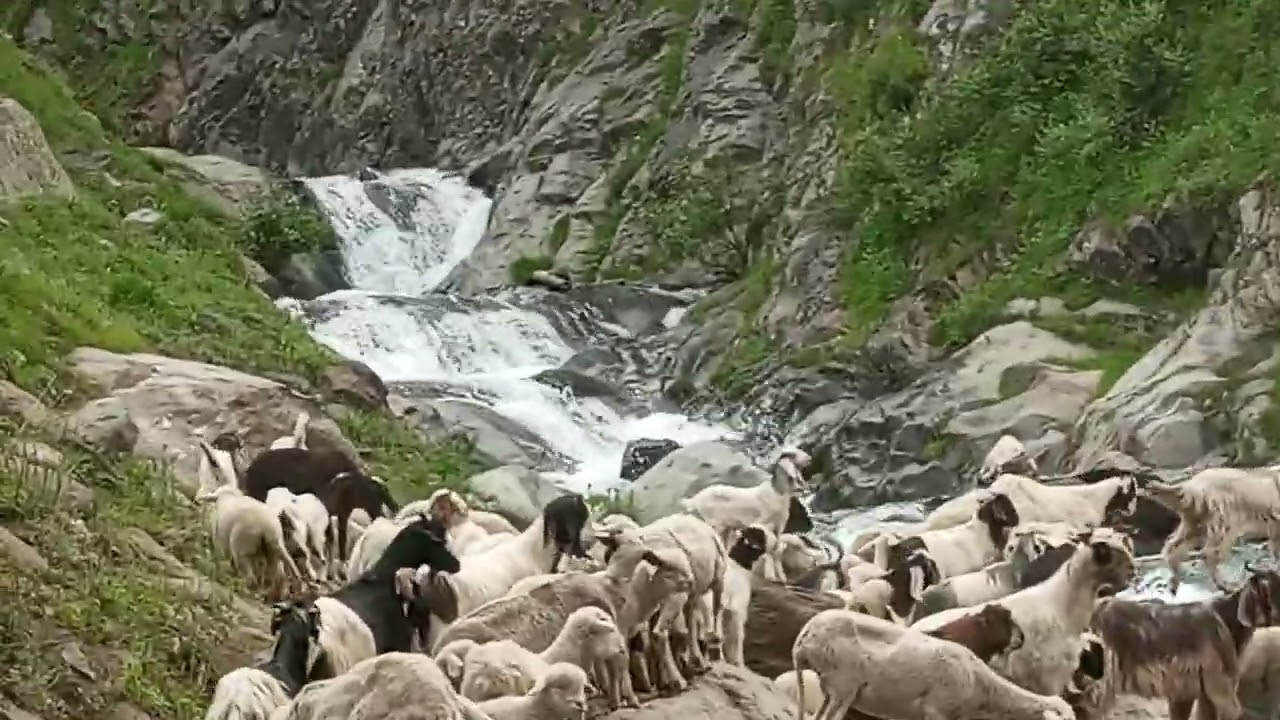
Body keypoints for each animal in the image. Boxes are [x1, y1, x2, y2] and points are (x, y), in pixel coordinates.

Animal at [681, 449, 811, 542]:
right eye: (790, 476)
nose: (803, 489)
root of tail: (695, 500)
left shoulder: (779, 527)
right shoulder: (761, 523)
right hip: (715, 523)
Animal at [1145, 466, 1280, 592]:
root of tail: (1191, 483)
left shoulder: (1275, 527)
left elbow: (1275, 549)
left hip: (1194, 525)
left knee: (1172, 546)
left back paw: (1174, 581)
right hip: (1224, 523)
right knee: (1208, 553)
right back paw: (1226, 585)